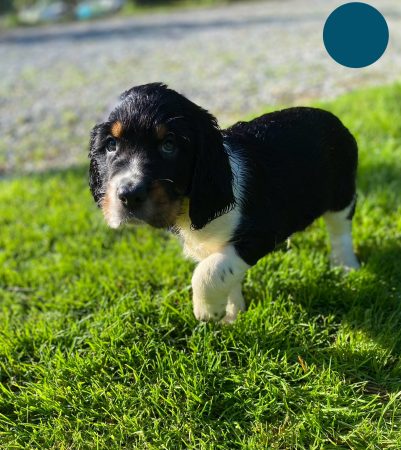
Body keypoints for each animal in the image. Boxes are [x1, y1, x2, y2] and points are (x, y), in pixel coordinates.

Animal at [90, 83, 360, 324]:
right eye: (111, 145)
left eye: (169, 145)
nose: (129, 195)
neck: (188, 210)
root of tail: (333, 119)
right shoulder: (213, 246)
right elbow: (225, 272)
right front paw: (232, 315)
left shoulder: (258, 234)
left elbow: (208, 272)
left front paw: (208, 311)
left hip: (341, 195)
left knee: (340, 231)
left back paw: (346, 266)